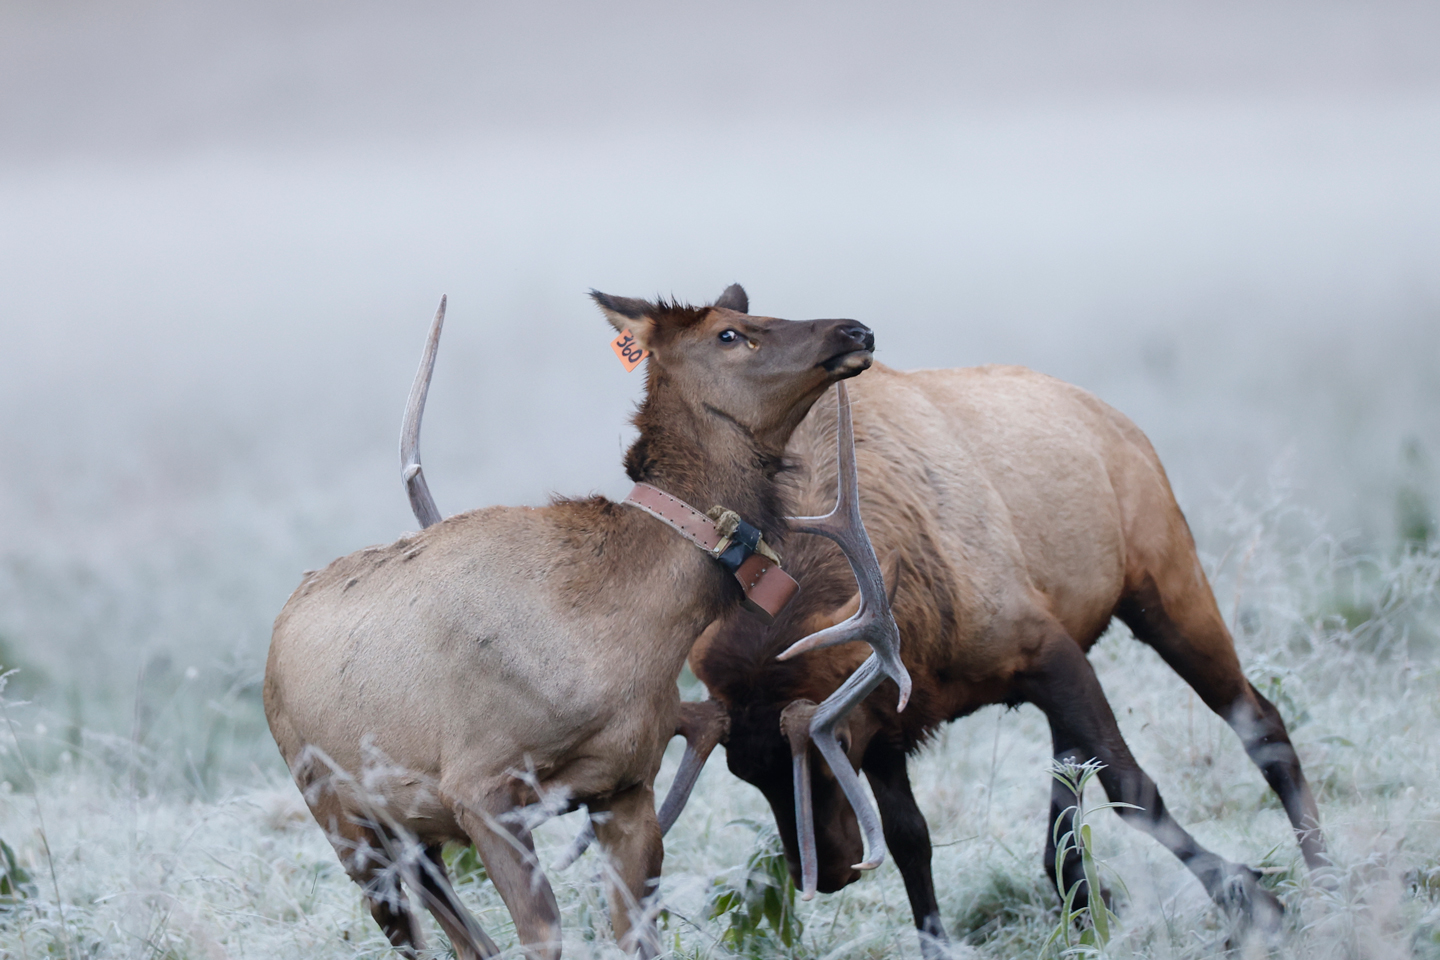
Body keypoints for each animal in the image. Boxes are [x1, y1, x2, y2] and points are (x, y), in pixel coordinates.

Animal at [259, 287, 898, 960]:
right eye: (729, 333)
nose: (855, 329)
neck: (624, 632)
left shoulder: (627, 786)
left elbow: (638, 934)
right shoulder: (478, 786)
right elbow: (542, 934)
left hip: (410, 830)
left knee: (462, 935)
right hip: (338, 813)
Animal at [662, 284, 1324, 955]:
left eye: (833, 747)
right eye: (744, 771)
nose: (822, 874)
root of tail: (1117, 419)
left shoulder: (1043, 648)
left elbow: (1132, 787)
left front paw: (1254, 899)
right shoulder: (891, 718)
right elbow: (911, 839)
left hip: (1166, 584)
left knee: (1262, 721)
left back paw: (1322, 873)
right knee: (1069, 785)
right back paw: (1086, 906)